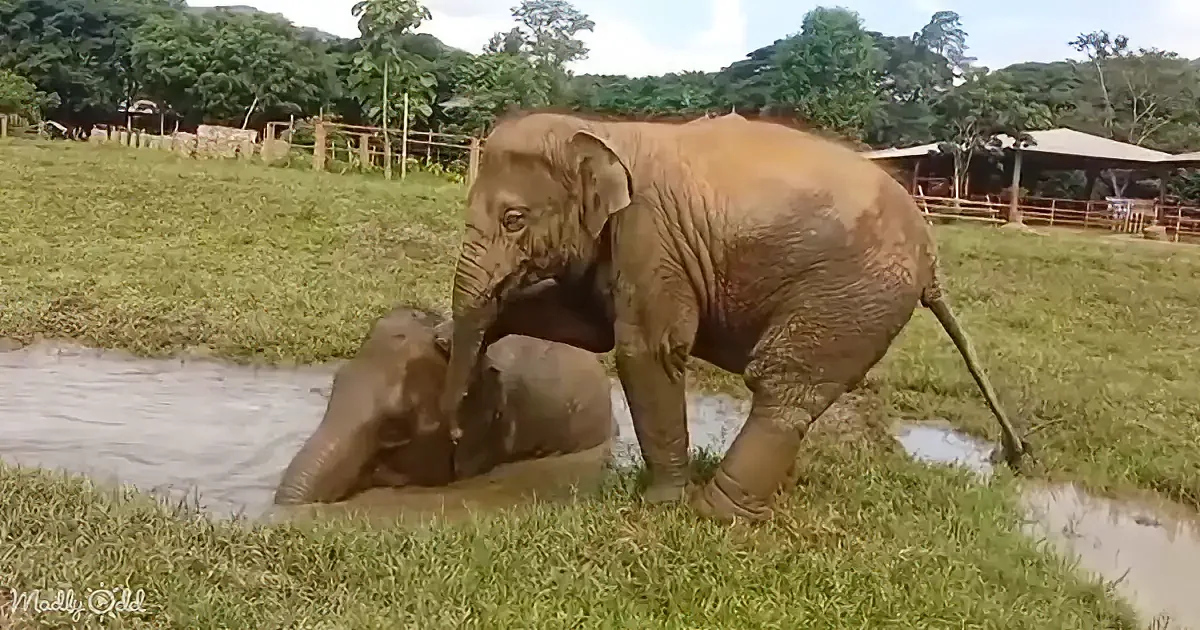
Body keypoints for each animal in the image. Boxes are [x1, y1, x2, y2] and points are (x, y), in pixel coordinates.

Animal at [435, 110, 1030, 523]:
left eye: (513, 219)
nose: (455, 441)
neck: (601, 131)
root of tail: (931, 257)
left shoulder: (651, 238)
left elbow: (645, 350)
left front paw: (660, 505)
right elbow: (586, 326)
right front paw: (445, 337)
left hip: (851, 293)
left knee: (783, 385)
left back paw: (716, 514)